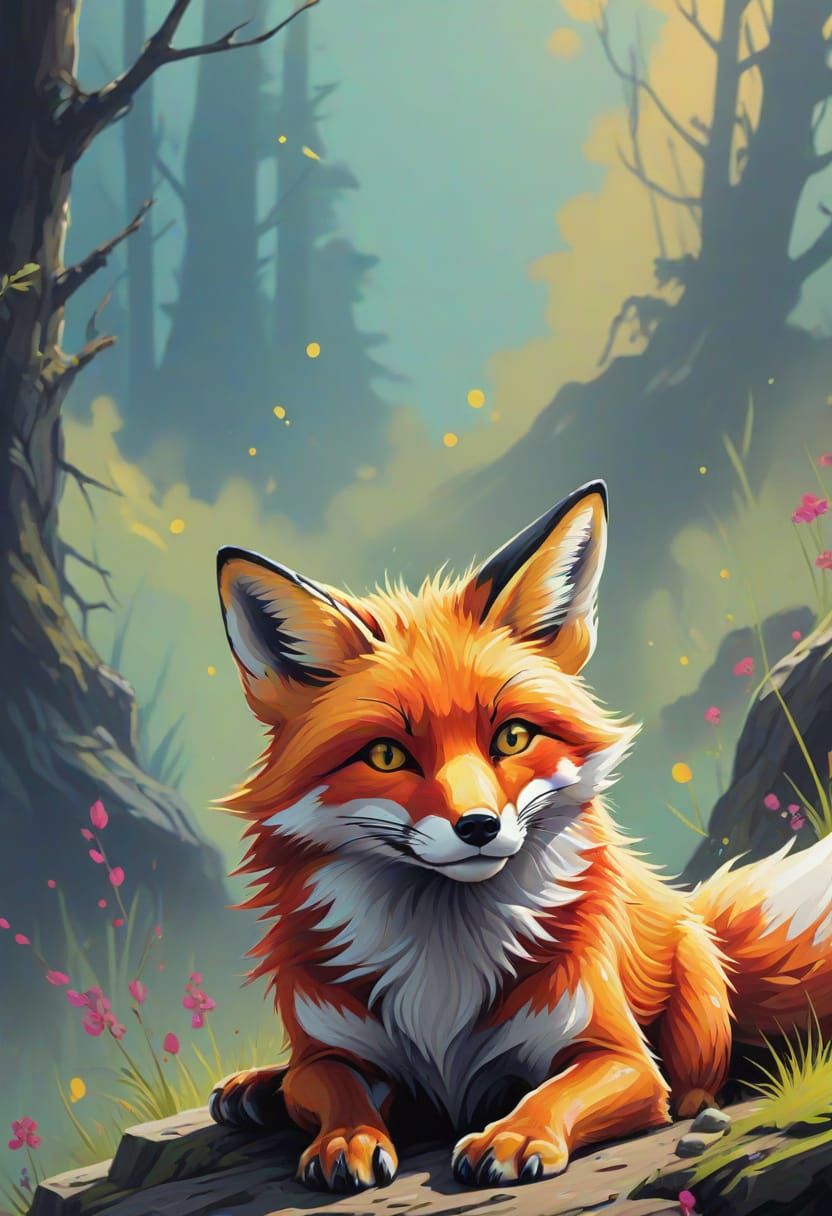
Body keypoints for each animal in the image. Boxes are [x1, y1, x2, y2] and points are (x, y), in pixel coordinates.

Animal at [209, 480, 832, 1192]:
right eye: (388, 756)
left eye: (511, 737)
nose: (479, 827)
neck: (444, 955)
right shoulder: (335, 1051)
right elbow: (330, 1085)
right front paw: (347, 1137)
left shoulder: (620, 1056)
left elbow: (553, 1091)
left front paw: (514, 1134)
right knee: (286, 1077)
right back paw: (254, 1087)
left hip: (695, 965)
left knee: (702, 1072)